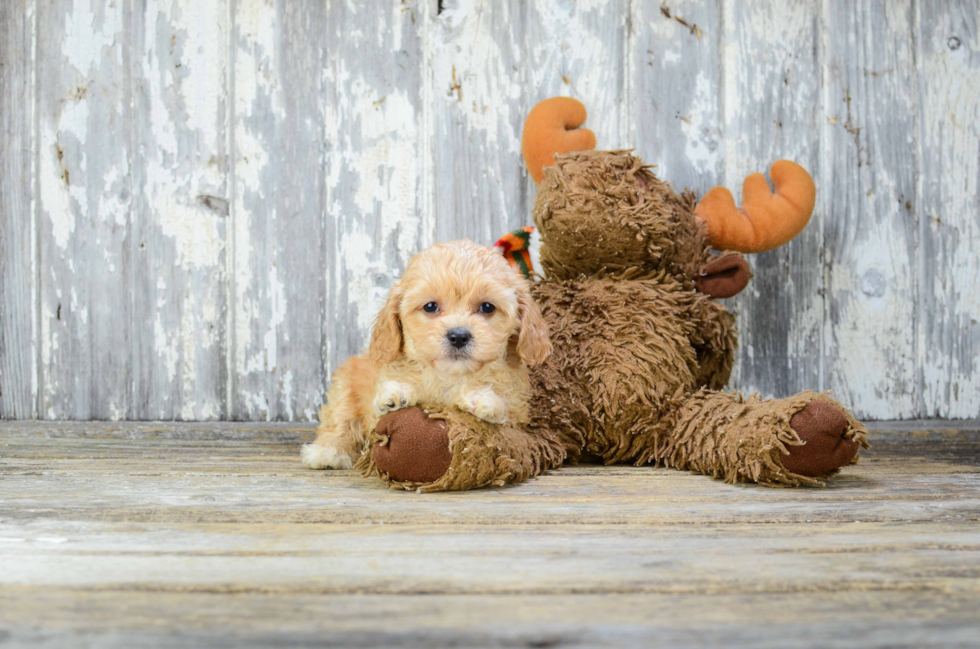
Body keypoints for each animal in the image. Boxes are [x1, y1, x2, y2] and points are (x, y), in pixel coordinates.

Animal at [300, 240, 552, 468]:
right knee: (340, 422)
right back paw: (328, 452)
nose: (458, 336)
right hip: (344, 388)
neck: (447, 376)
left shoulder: (517, 414)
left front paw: (482, 398)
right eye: (431, 306)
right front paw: (394, 395)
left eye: (487, 307)